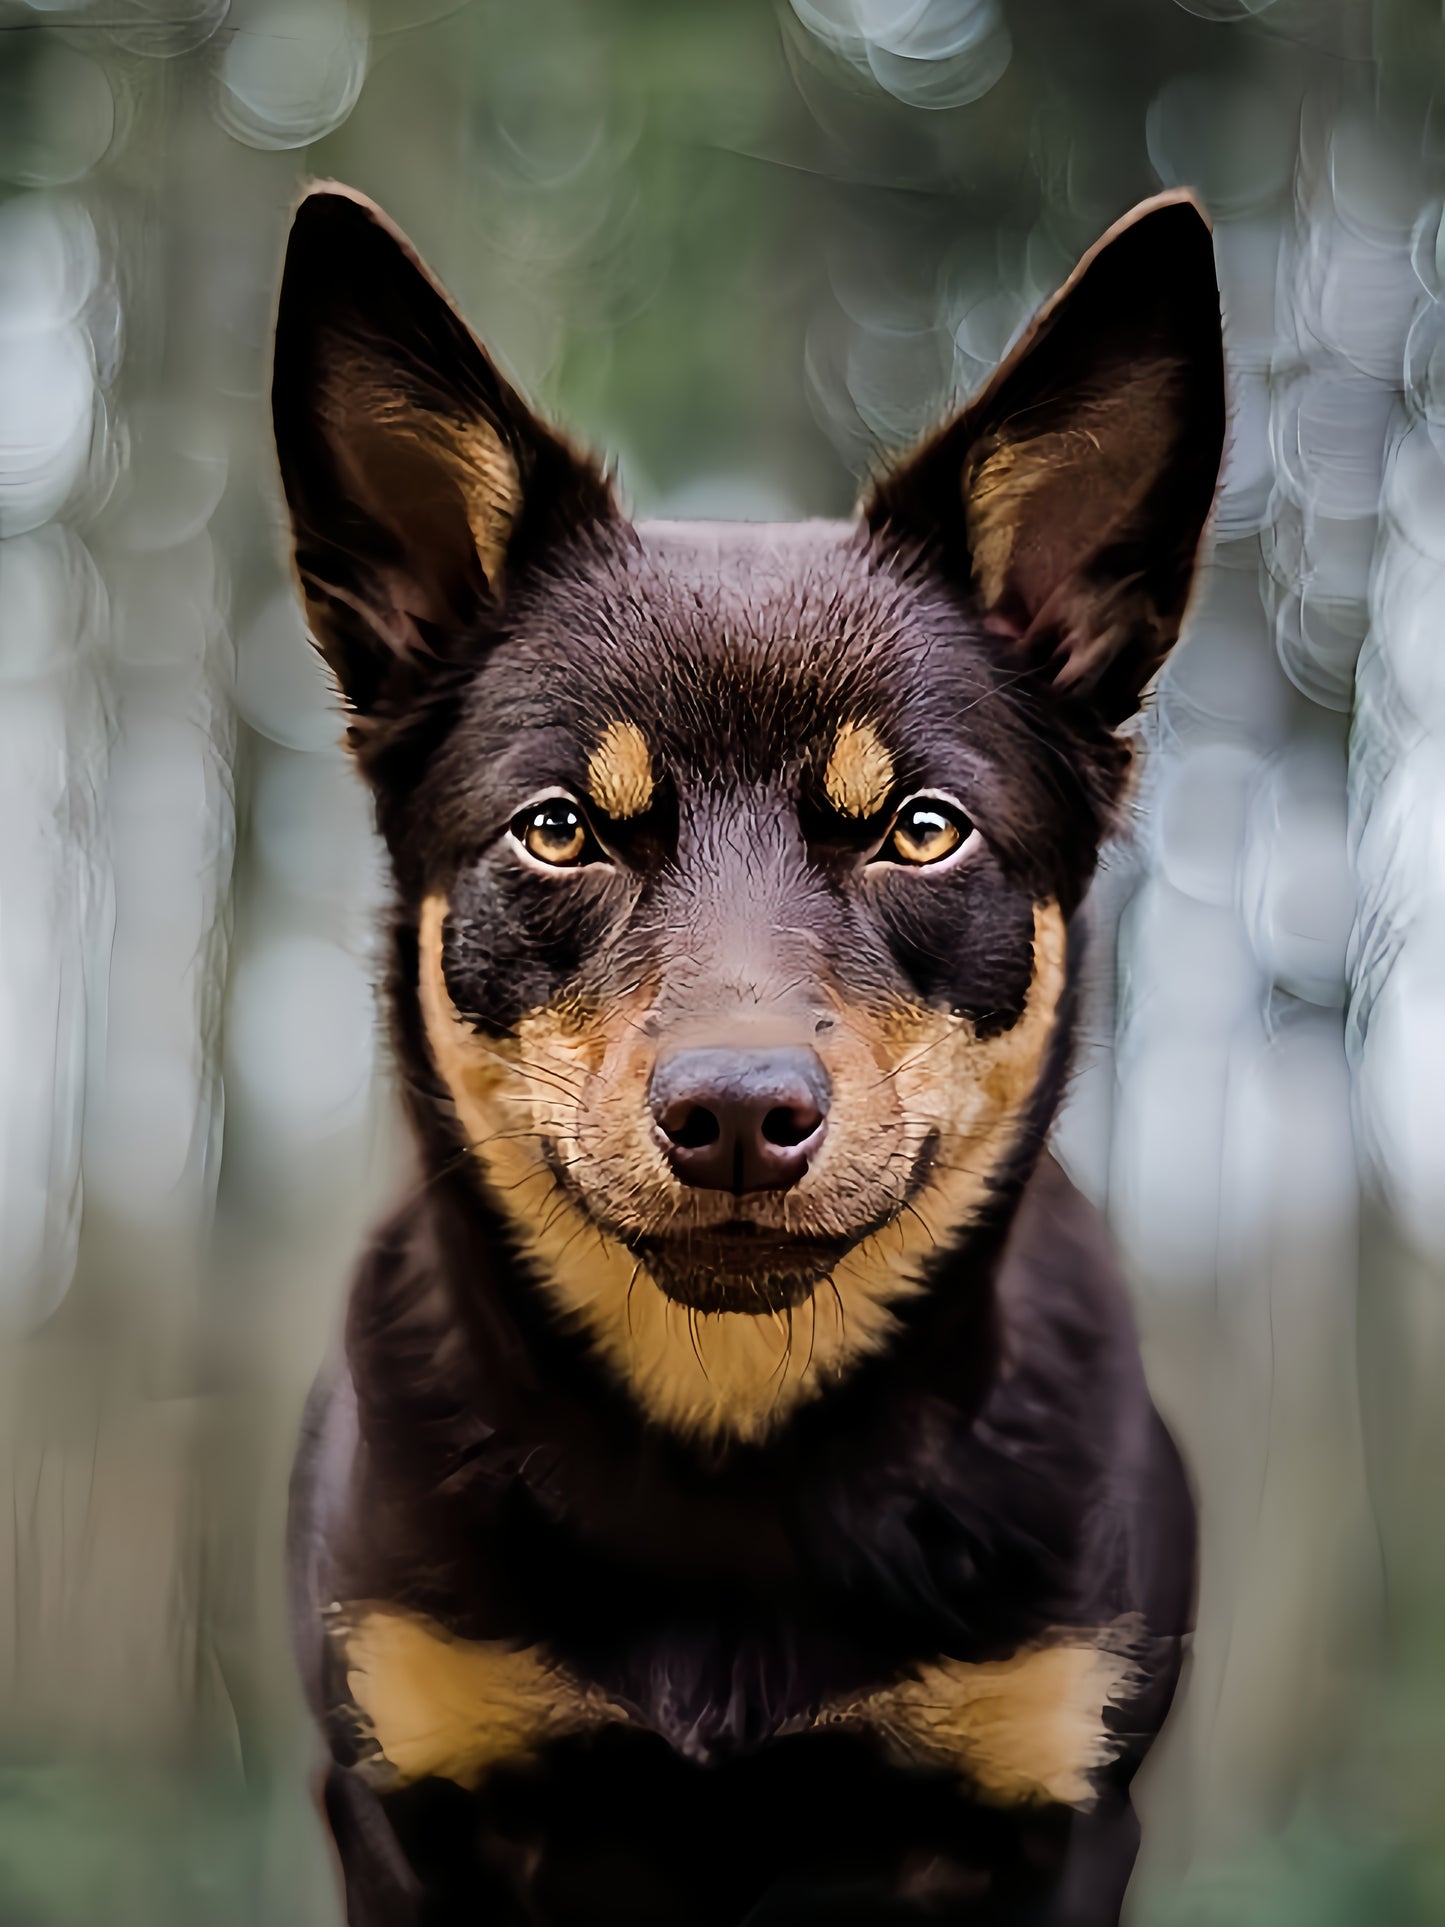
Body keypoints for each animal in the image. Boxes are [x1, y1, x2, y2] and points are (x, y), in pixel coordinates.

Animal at [271, 184, 1225, 1927]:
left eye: (923, 827)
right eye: (558, 826)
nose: (733, 1110)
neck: (730, 1449)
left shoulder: (1057, 1814)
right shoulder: (402, 1800)